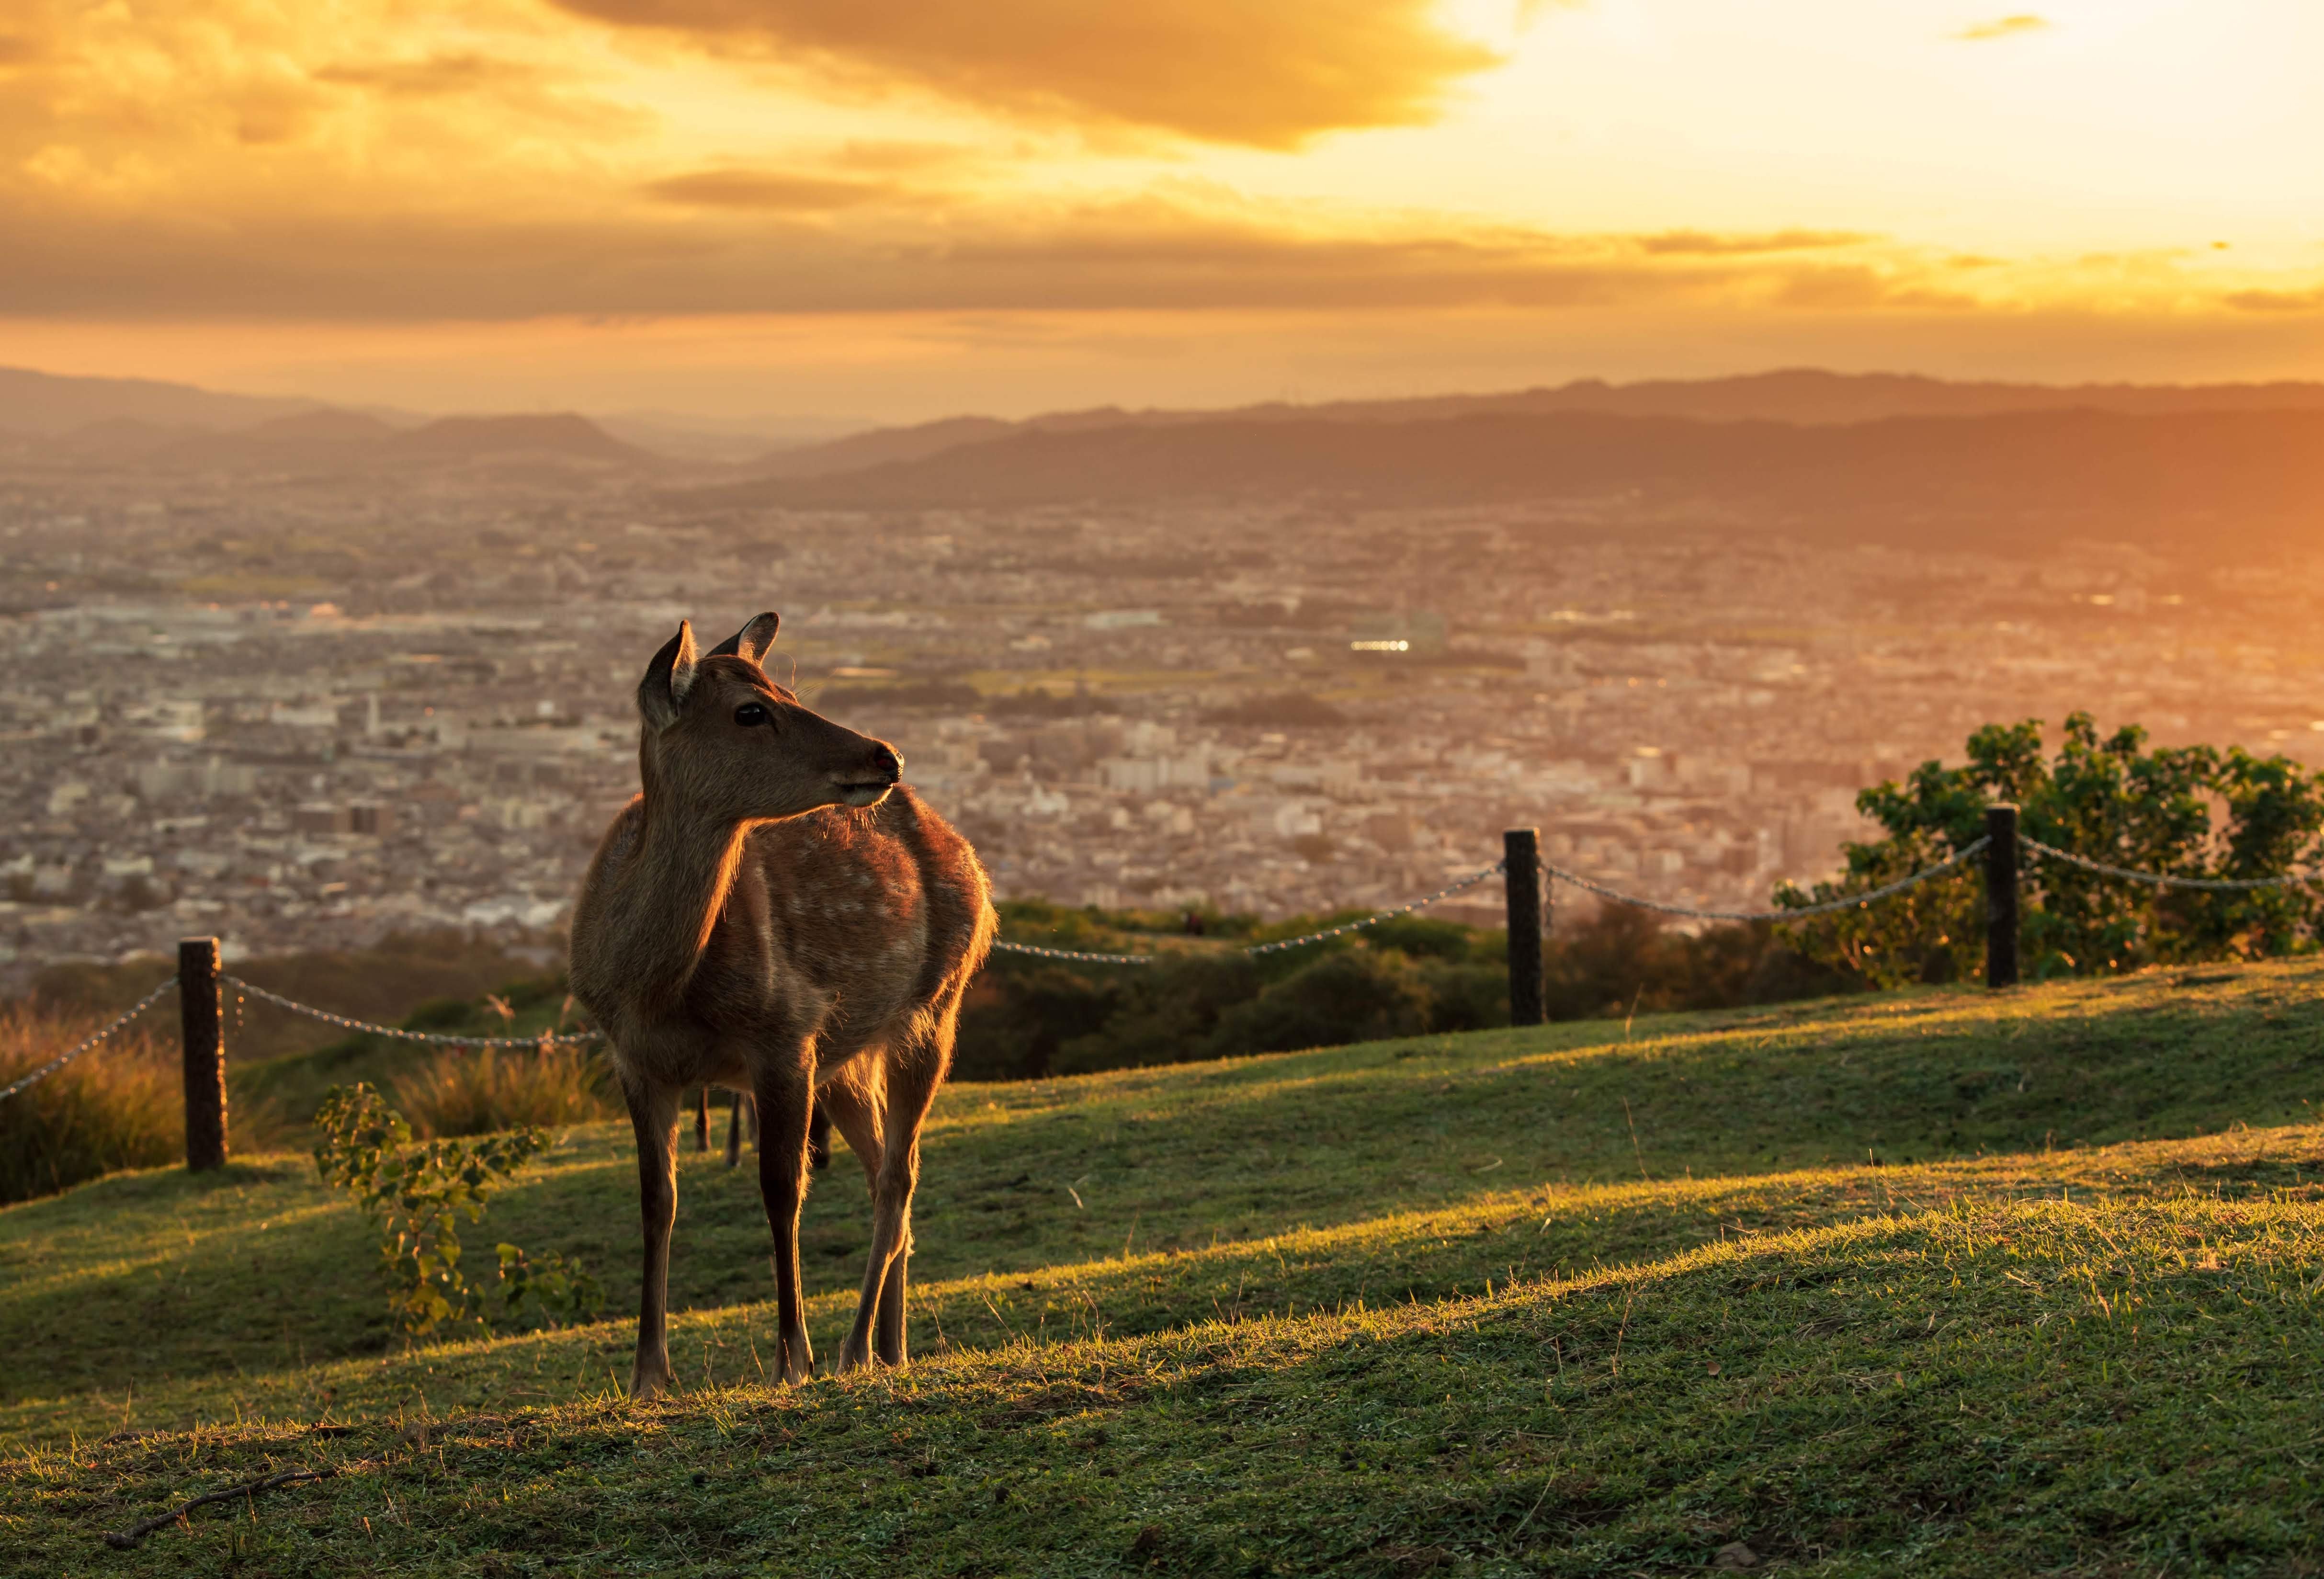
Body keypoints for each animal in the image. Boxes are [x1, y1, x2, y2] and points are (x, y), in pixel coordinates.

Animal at [576, 609, 995, 1404]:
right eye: (751, 710)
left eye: (789, 691)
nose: (885, 755)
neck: (662, 988)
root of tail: (969, 855)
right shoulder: (632, 1059)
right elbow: (656, 1201)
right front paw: (648, 1374)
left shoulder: (785, 1031)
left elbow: (781, 1188)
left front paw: (790, 1359)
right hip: (847, 1060)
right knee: (883, 1168)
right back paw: (890, 1348)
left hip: (939, 1006)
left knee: (898, 1176)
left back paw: (854, 1348)